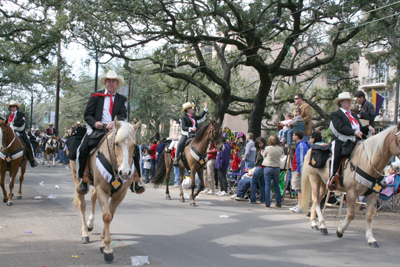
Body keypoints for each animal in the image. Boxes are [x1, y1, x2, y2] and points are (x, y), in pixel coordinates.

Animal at [71, 119, 140, 264]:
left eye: (134, 145)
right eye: (117, 143)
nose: (125, 173)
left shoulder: (120, 193)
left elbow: (110, 215)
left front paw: (103, 243)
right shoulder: (102, 189)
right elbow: (106, 216)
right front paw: (108, 250)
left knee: (92, 197)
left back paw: (90, 223)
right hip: (77, 179)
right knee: (82, 205)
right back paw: (85, 233)